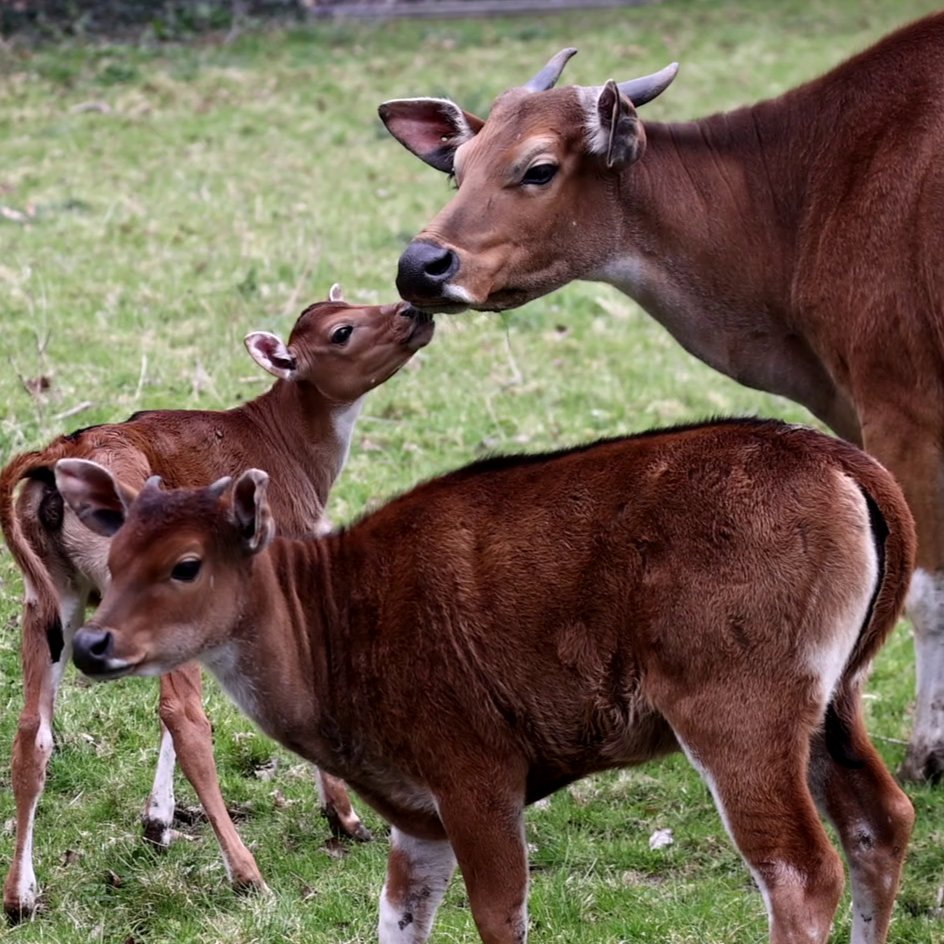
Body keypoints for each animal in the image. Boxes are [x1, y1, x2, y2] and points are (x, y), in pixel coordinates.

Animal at [0, 288, 434, 920]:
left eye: (356, 301)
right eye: (342, 330)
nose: (413, 309)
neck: (294, 452)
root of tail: (53, 459)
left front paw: (156, 822)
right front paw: (345, 815)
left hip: (50, 598)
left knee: (33, 729)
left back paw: (21, 894)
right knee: (184, 715)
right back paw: (248, 874)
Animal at [60, 418, 916, 944]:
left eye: (186, 563)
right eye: (117, 551)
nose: (93, 644)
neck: (331, 638)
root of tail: (849, 467)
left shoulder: (477, 772)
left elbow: (500, 916)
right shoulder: (418, 813)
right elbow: (398, 917)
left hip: (738, 705)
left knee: (803, 869)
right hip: (834, 700)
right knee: (882, 818)